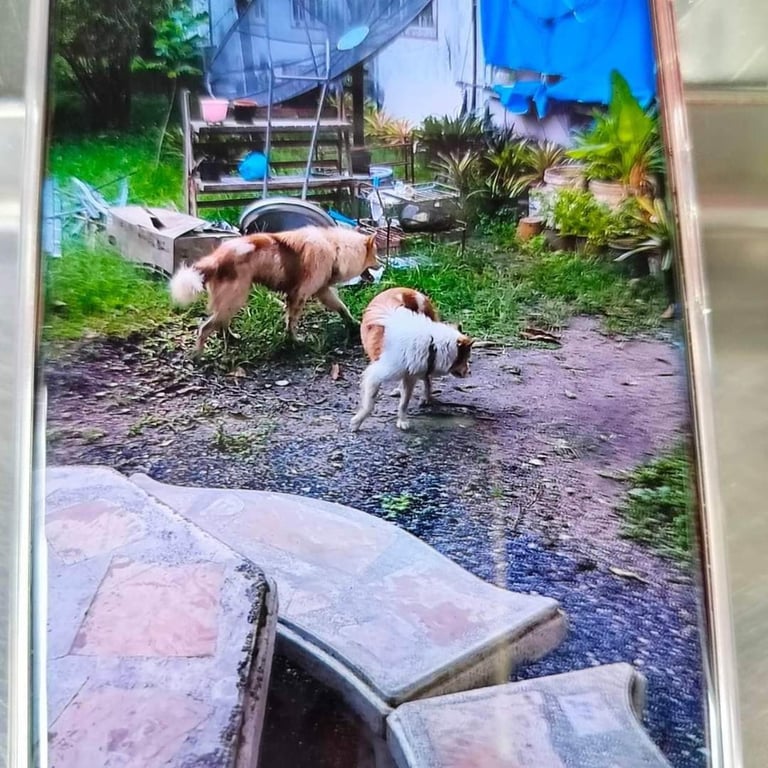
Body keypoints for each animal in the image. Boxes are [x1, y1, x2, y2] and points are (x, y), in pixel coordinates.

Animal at [169, 226, 380, 353]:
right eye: (375, 255)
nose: (381, 264)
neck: (337, 248)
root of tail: (215, 259)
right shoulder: (299, 295)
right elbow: (291, 322)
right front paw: (294, 341)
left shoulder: (322, 291)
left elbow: (342, 308)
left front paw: (354, 324)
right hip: (235, 299)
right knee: (205, 328)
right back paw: (198, 355)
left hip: (231, 301)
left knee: (220, 323)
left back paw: (231, 338)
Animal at [351, 293, 474, 432]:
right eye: (465, 358)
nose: (469, 372)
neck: (432, 344)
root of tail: (410, 291)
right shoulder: (375, 376)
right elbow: (369, 406)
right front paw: (357, 422)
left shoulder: (411, 376)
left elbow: (404, 403)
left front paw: (402, 420)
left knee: (427, 379)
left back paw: (424, 396)